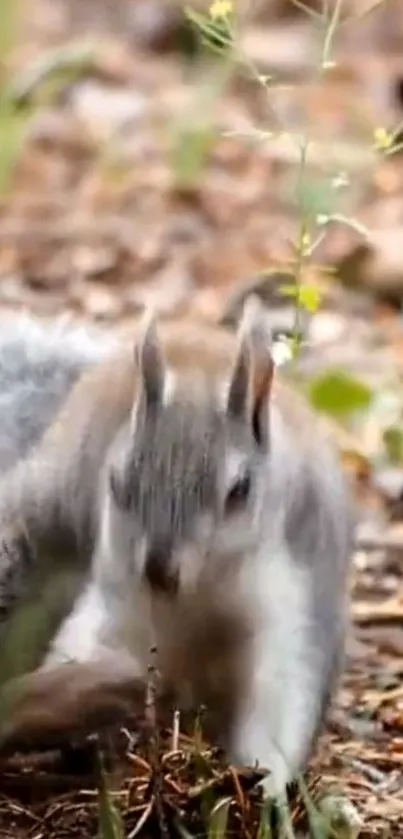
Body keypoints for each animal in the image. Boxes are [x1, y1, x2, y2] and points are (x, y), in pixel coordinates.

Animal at [0, 298, 354, 796]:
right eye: (116, 482)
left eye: (240, 490)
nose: (158, 570)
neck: (204, 588)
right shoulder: (117, 598)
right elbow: (89, 649)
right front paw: (86, 697)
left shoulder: (296, 604)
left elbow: (280, 701)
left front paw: (261, 790)